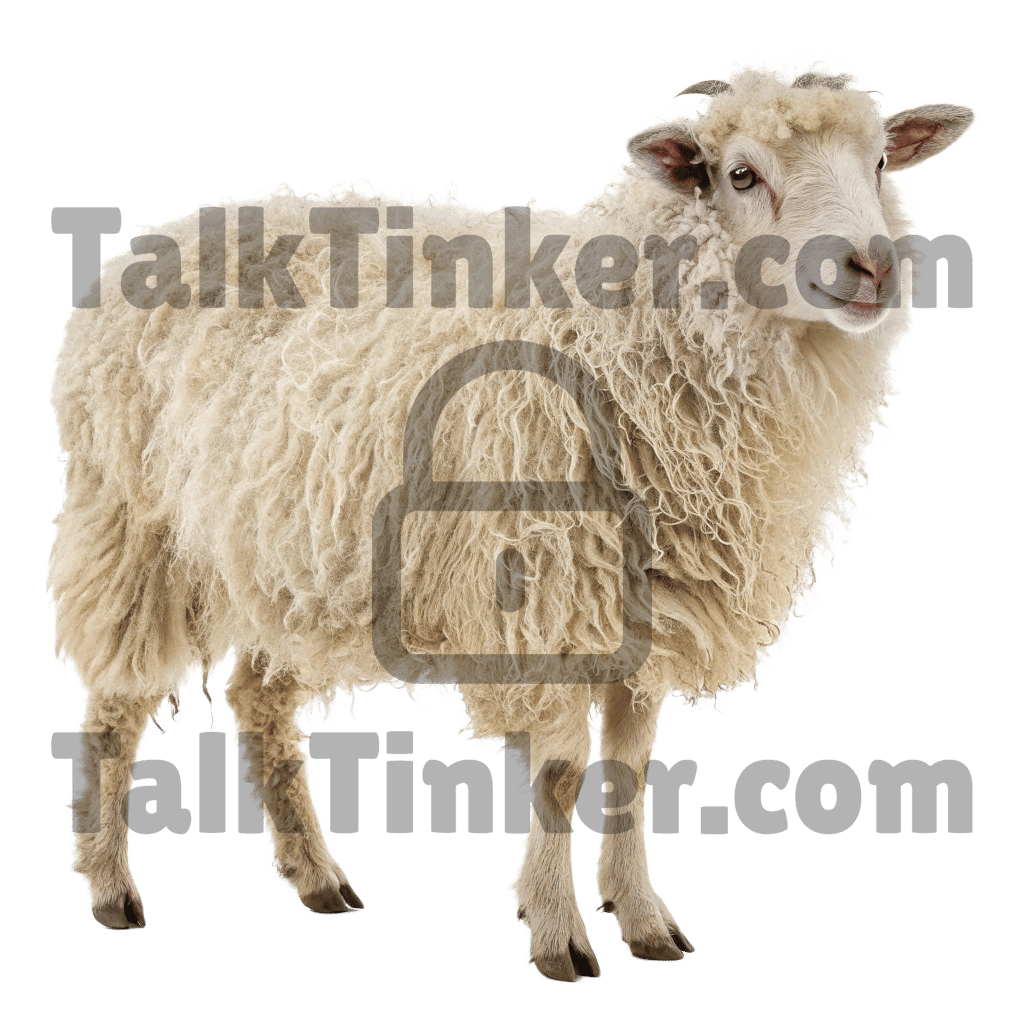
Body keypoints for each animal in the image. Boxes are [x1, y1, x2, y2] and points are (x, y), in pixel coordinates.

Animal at [46, 51, 978, 983]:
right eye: (742, 174)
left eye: (881, 162)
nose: (869, 267)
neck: (616, 339)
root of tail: (154, 237)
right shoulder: (546, 601)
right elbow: (564, 773)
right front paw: (559, 935)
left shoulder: (645, 608)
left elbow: (631, 769)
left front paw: (643, 922)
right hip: (131, 526)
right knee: (116, 705)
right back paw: (110, 889)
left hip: (294, 555)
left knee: (261, 703)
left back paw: (317, 879)